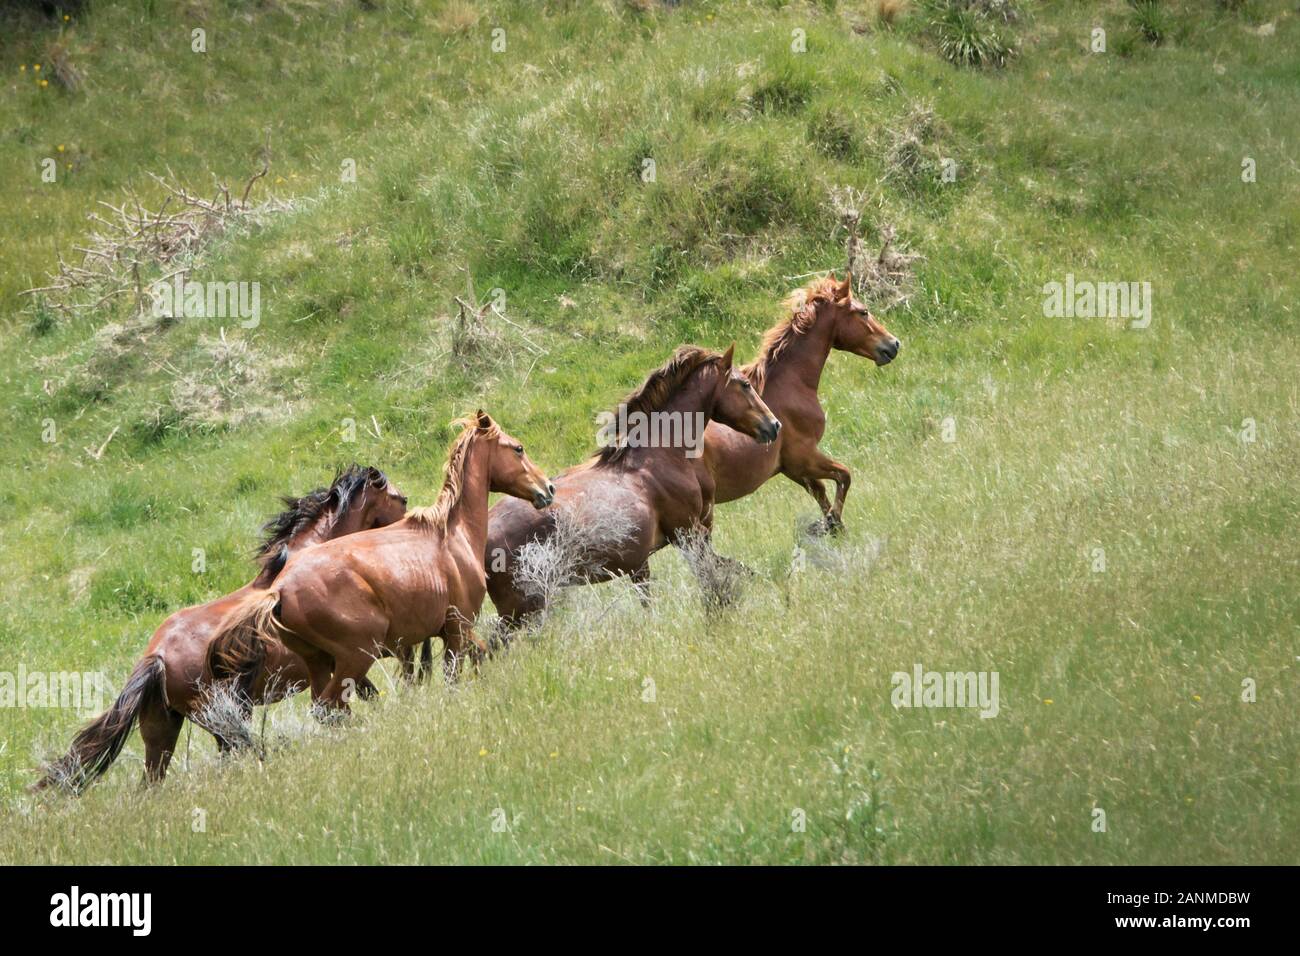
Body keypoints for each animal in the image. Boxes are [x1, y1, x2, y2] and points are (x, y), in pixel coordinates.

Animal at [201, 411, 553, 712]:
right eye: (518, 448)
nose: (548, 487)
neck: (452, 532)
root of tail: (279, 591)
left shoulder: (443, 635)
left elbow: (480, 655)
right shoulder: (457, 628)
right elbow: (454, 677)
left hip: (319, 662)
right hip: (355, 658)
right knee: (330, 707)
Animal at [486, 343, 769, 629]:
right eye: (745, 384)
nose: (773, 425)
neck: (663, 455)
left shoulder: (669, 548)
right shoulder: (688, 534)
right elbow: (719, 579)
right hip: (522, 607)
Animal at [702, 273, 904, 535]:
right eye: (863, 312)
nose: (894, 344)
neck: (790, 384)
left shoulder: (792, 468)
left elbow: (821, 491)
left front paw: (834, 528)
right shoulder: (804, 456)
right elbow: (844, 476)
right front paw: (830, 523)